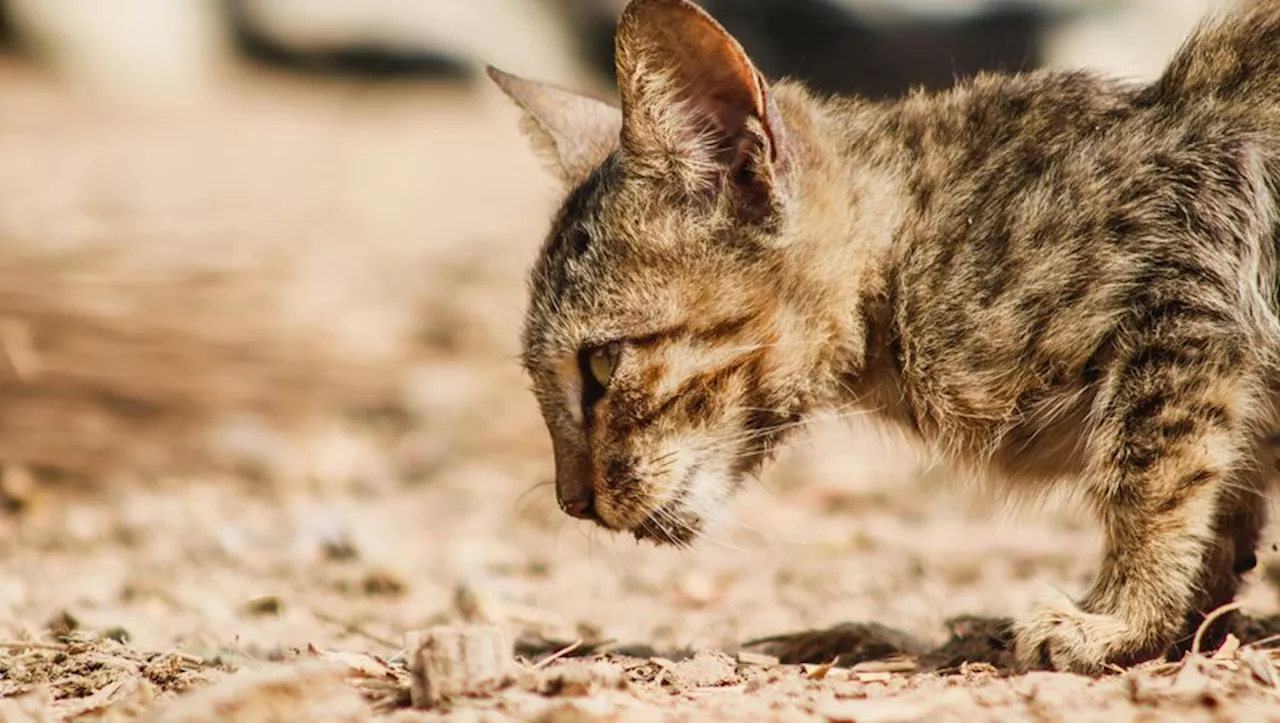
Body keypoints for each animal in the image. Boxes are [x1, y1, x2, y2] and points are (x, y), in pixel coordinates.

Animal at [483, 0, 1280, 675]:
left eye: (601, 363)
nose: (571, 502)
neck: (916, 246)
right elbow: (1225, 499)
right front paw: (1184, 618)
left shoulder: (1186, 290)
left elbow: (1153, 474)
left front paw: (1121, 620)